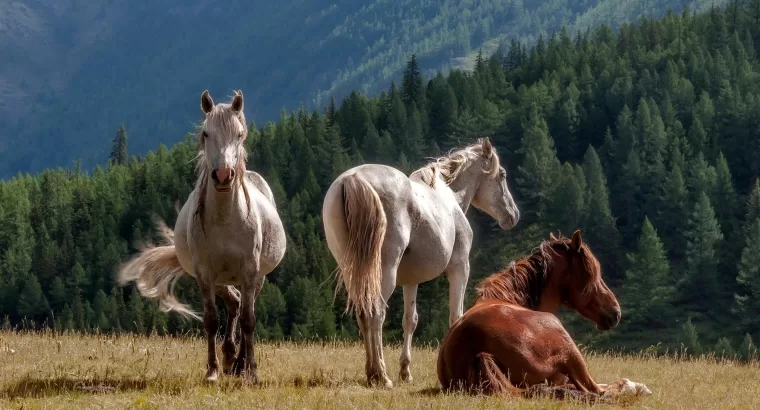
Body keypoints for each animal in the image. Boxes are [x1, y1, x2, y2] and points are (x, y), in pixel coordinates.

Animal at [320, 139, 524, 388]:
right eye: (502, 174)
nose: (512, 215)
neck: (450, 197)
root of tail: (354, 178)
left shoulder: (411, 281)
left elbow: (410, 320)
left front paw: (405, 371)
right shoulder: (460, 269)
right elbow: (456, 316)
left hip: (355, 271)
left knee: (363, 312)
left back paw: (371, 373)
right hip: (384, 272)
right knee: (375, 312)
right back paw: (381, 375)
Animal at [436, 231, 652, 404]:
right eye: (592, 273)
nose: (616, 312)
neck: (505, 297)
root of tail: (475, 347)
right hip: (569, 348)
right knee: (598, 390)